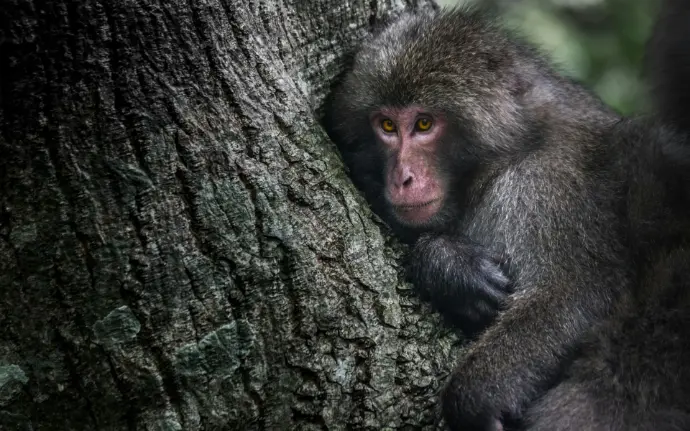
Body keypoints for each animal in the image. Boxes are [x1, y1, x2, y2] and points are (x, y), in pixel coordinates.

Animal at [324, 6, 690, 431]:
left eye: (424, 124)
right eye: (386, 126)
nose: (403, 178)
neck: (511, 151)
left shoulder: (543, 187)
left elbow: (572, 295)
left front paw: (475, 397)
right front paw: (449, 266)